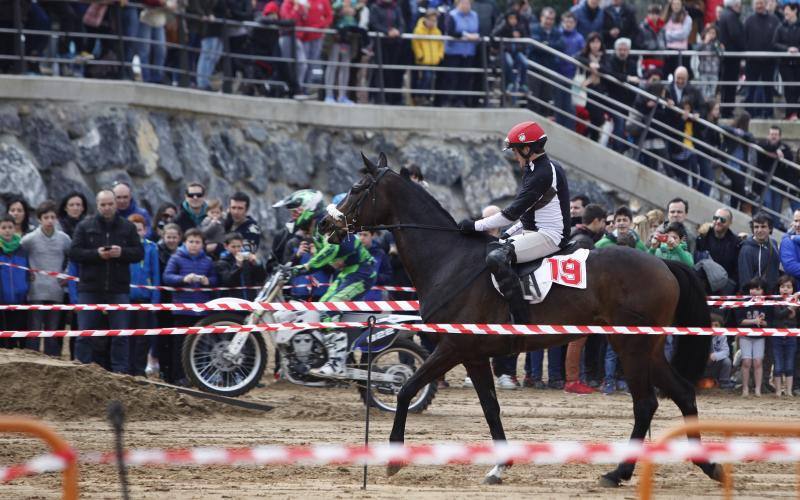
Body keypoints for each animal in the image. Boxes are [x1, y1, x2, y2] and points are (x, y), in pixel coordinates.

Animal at [318, 153, 724, 488]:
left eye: (357, 189)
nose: (324, 224)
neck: (450, 259)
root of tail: (664, 264)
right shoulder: (474, 355)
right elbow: (490, 408)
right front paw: (500, 465)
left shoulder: (453, 346)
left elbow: (404, 389)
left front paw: (394, 459)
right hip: (648, 347)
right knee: (681, 393)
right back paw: (707, 465)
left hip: (632, 346)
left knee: (645, 403)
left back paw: (619, 471)